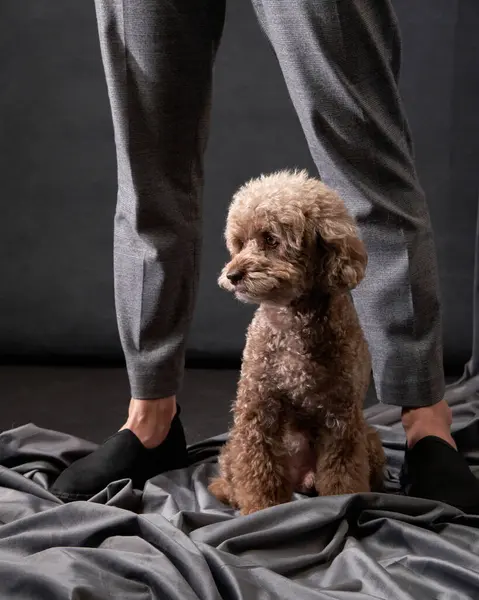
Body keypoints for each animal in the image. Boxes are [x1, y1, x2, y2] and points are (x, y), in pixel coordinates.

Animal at [210, 170, 386, 516]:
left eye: (270, 239)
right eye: (239, 243)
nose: (232, 274)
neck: (293, 323)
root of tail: (302, 478)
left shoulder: (341, 418)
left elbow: (342, 475)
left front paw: (343, 503)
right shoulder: (257, 411)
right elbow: (259, 472)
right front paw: (260, 512)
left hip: (369, 439)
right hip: (233, 448)